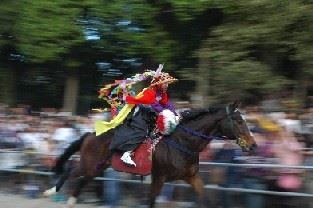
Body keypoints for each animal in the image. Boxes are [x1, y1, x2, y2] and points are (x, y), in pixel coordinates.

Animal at [42, 101, 256, 207]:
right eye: (238, 120)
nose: (253, 145)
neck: (183, 143)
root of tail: (89, 134)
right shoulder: (158, 177)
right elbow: (151, 201)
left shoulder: (191, 177)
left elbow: (205, 199)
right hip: (89, 163)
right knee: (70, 171)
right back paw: (51, 191)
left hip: (97, 167)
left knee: (82, 180)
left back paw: (71, 200)